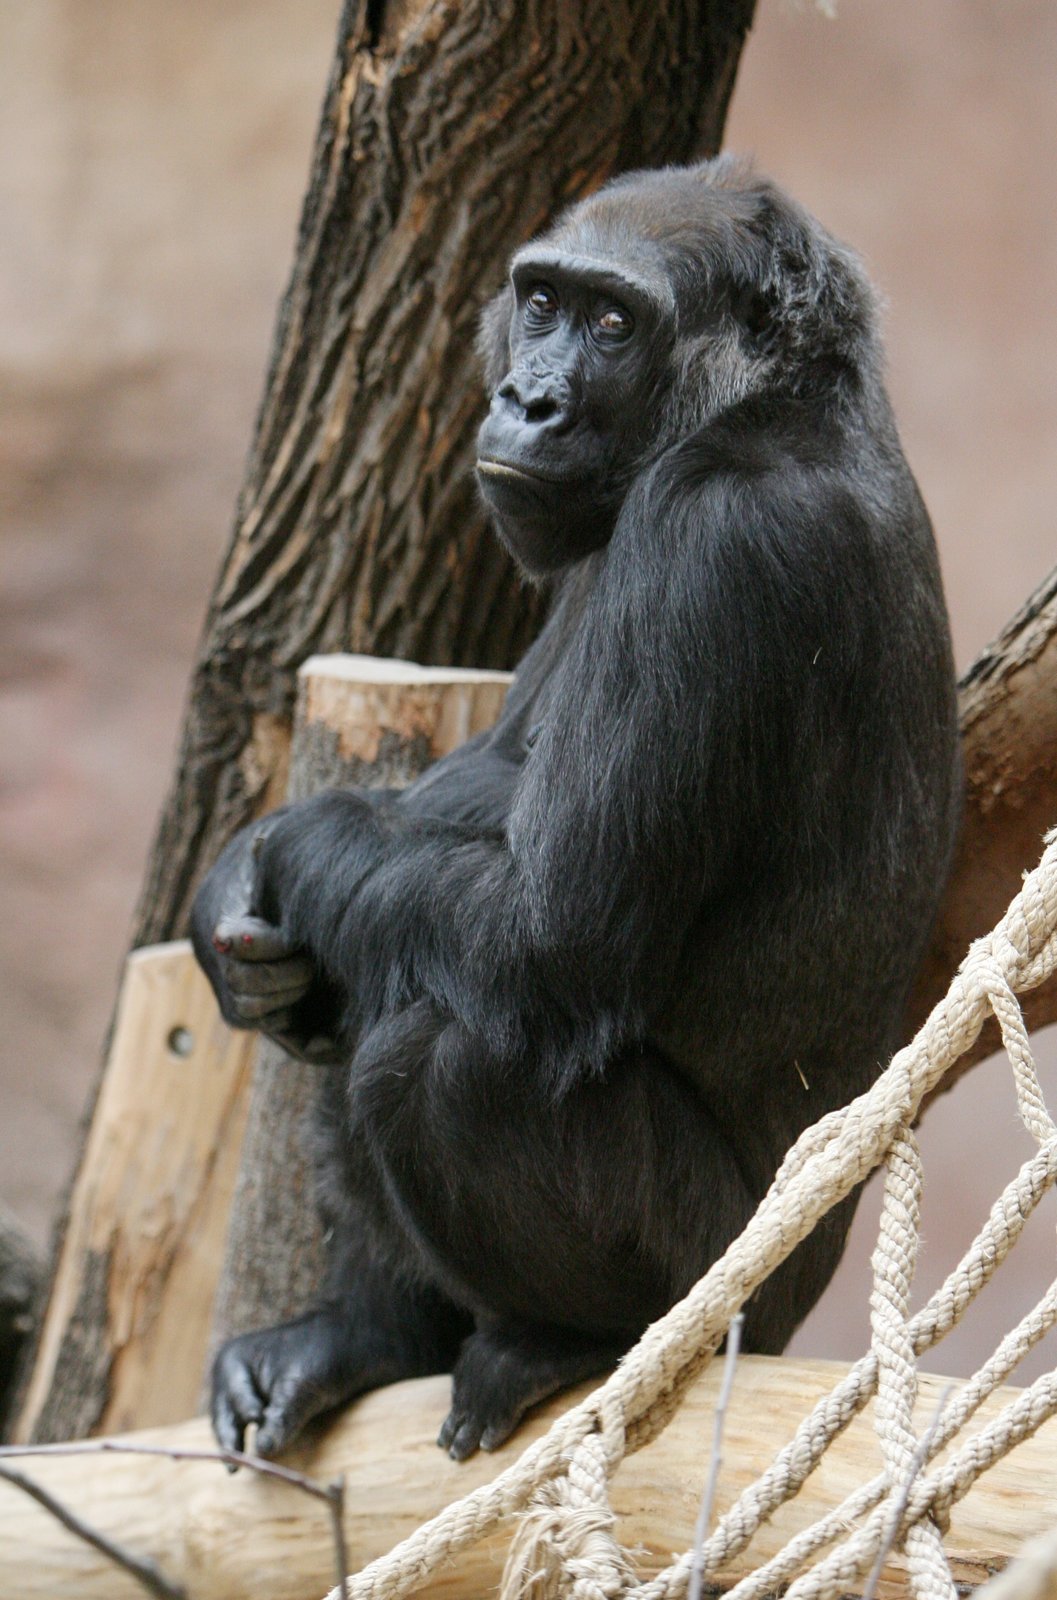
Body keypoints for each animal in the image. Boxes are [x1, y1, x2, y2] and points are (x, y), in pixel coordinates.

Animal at [189, 159, 959, 1465]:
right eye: (542, 300)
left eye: (612, 322)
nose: (529, 398)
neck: (755, 408)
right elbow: (457, 807)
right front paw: (230, 906)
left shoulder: (715, 545)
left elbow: (548, 930)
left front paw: (280, 851)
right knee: (390, 951)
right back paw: (369, 1330)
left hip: (737, 1297)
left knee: (447, 1048)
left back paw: (574, 1341)